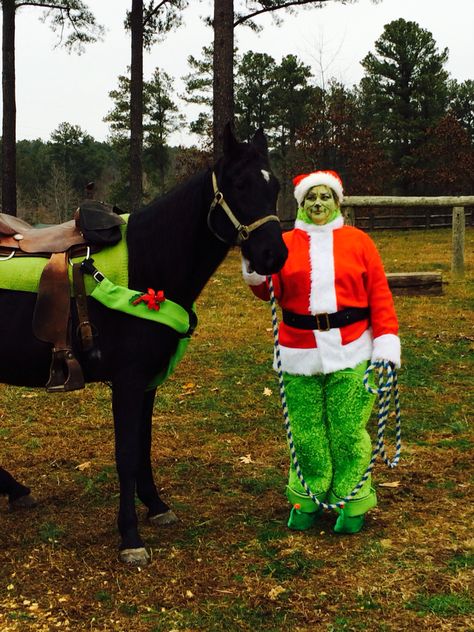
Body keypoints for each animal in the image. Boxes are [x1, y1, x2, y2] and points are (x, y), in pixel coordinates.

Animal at [0, 126, 286, 564]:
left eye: (275, 186)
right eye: (239, 183)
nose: (274, 254)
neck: (148, 263)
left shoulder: (148, 383)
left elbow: (143, 447)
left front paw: (156, 506)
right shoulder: (129, 382)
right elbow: (126, 454)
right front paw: (130, 537)